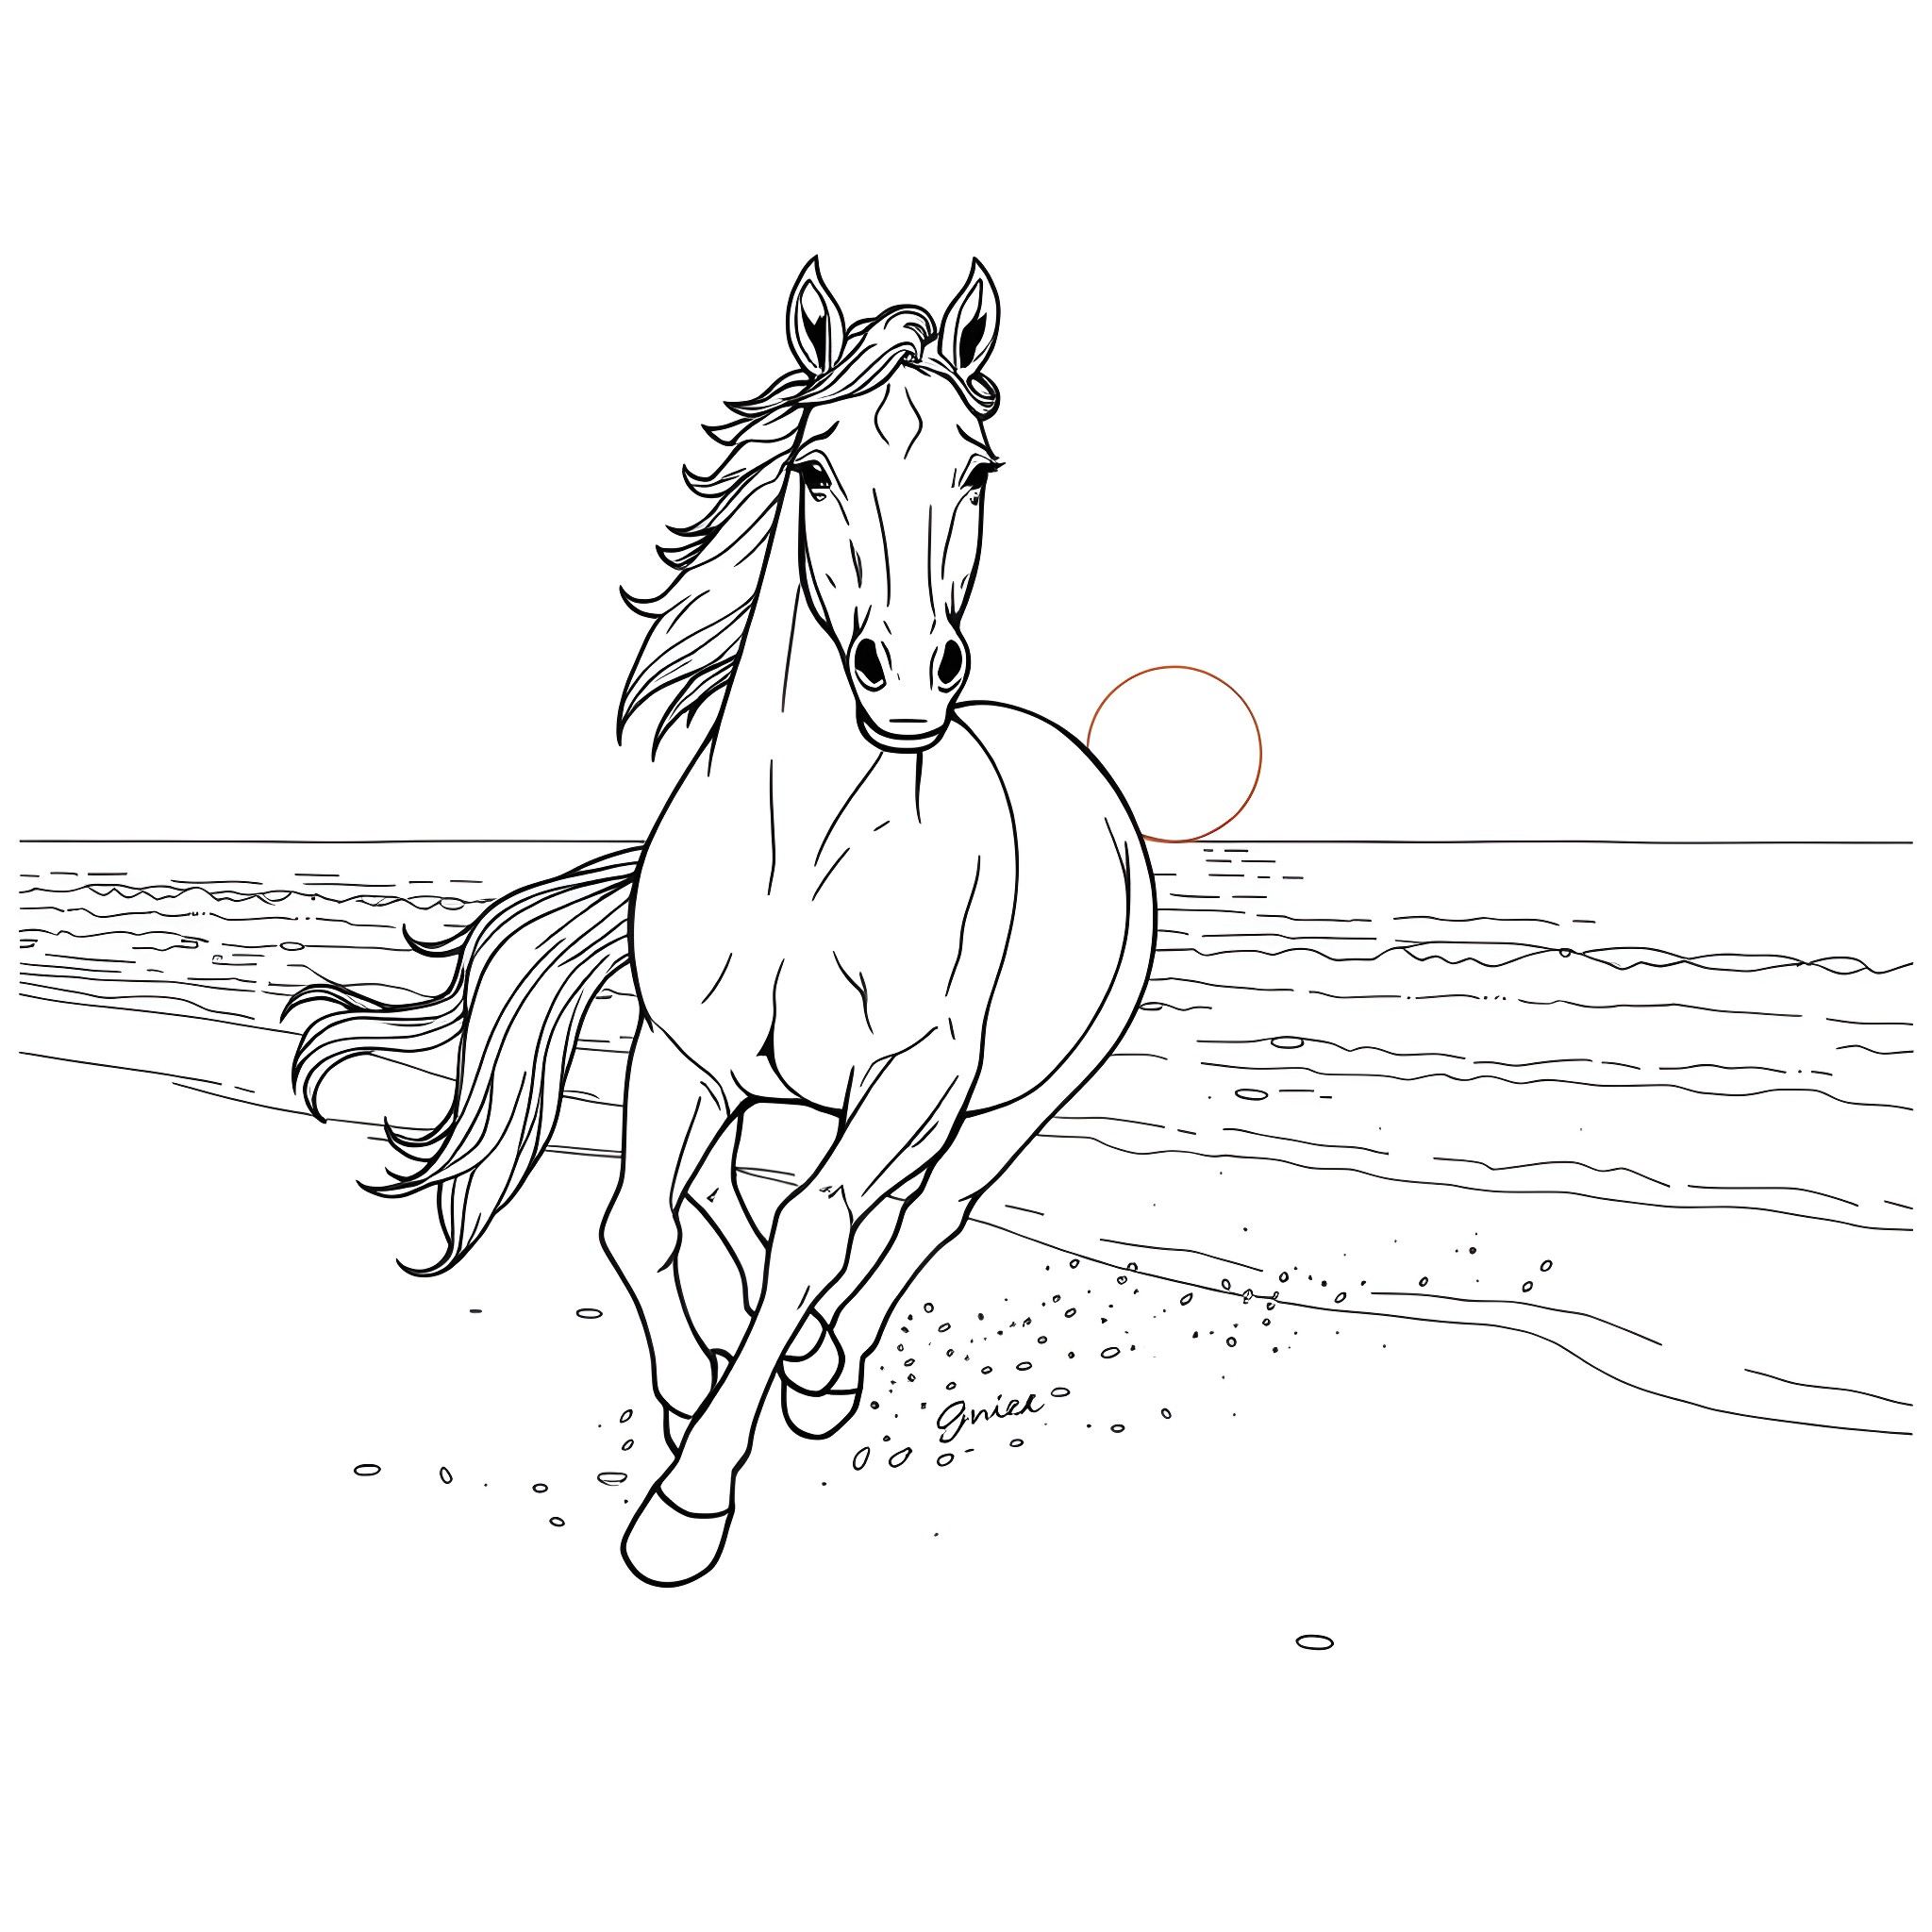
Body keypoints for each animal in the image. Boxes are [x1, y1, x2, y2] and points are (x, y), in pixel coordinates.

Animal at [290, 259, 1155, 1585]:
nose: (909, 676)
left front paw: (688, 1501)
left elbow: (813, 1225)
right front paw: (698, 1387)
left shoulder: (914, 1071)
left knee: (925, 1205)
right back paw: (792, 1353)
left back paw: (822, 1359)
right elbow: (637, 1218)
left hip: (1017, 1094)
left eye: (978, 470)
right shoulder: (681, 1052)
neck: (802, 854)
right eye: (814, 469)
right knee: (741, 1191)